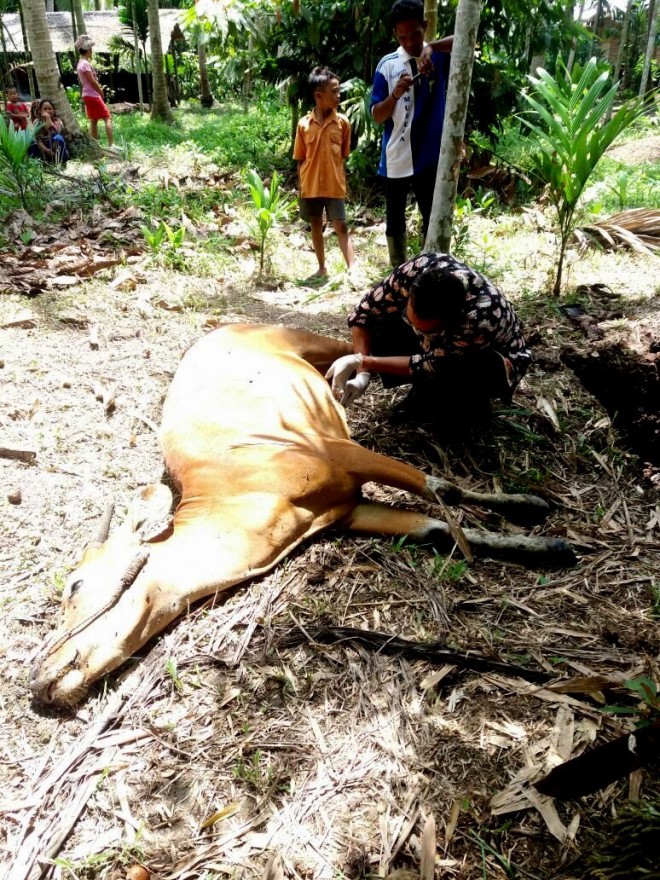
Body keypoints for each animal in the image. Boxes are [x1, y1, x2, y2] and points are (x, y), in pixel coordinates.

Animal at [31, 324, 576, 708]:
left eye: (75, 584)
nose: (39, 677)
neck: (243, 498)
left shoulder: (339, 453)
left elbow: (441, 487)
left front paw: (531, 506)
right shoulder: (348, 510)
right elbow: (436, 528)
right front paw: (548, 547)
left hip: (305, 339)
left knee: (365, 348)